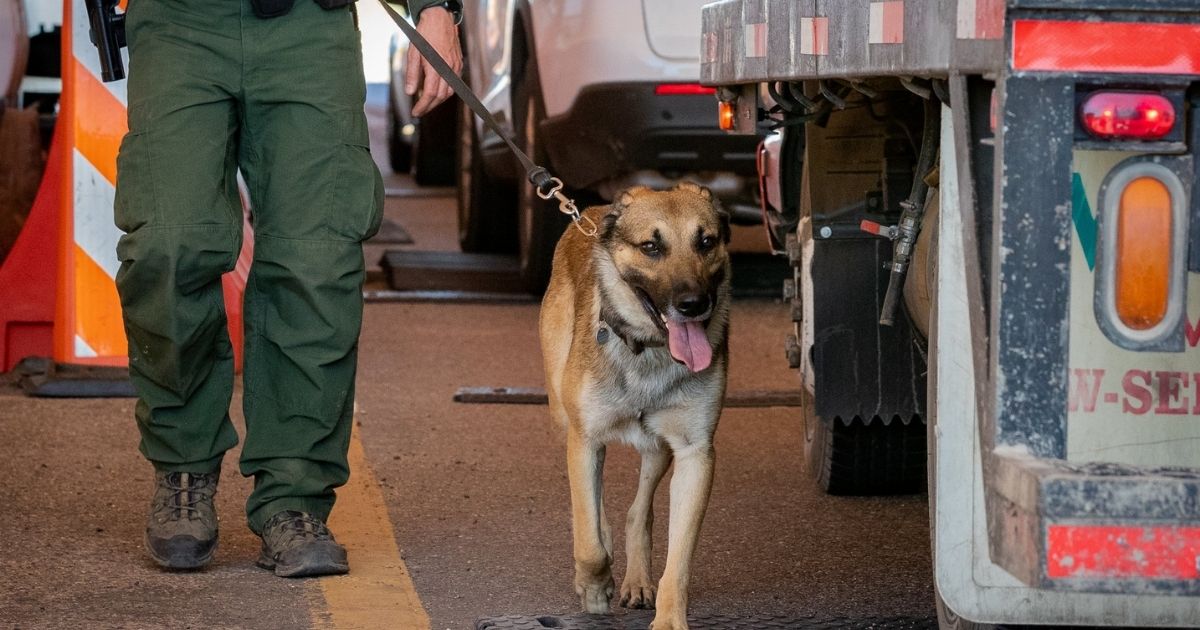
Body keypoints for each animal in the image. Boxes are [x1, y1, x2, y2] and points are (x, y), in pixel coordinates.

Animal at [542, 181, 729, 628]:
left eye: (706, 242)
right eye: (651, 247)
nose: (694, 304)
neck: (649, 350)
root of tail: (590, 211)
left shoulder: (696, 453)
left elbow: (678, 561)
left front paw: (669, 618)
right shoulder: (584, 439)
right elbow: (589, 540)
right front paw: (594, 586)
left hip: (658, 448)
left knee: (638, 512)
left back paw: (637, 579)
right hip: (564, 420)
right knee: (593, 513)